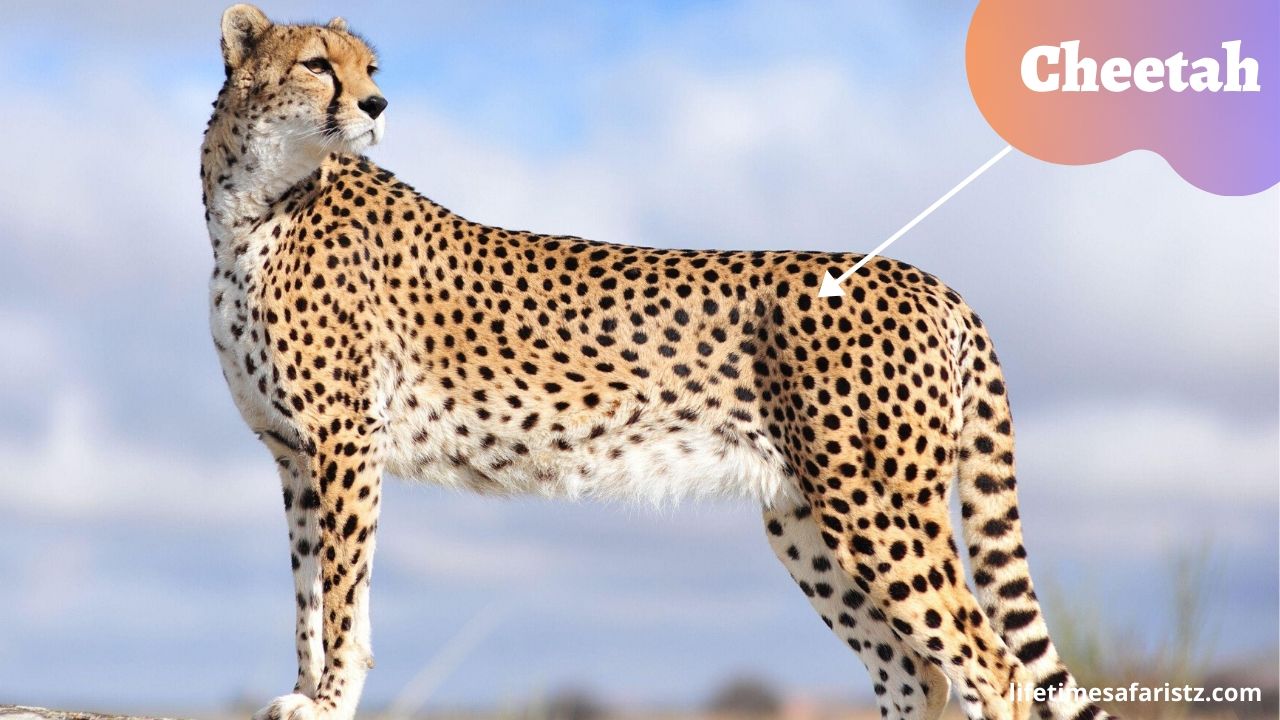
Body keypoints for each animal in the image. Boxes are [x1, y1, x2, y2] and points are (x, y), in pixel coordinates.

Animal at [201, 6, 1114, 720]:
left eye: (370, 69)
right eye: (318, 65)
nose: (378, 104)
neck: (252, 204)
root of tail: (929, 279)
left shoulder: (344, 441)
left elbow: (343, 595)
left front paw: (329, 700)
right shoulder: (294, 454)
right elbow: (308, 592)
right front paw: (303, 691)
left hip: (875, 504)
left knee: (991, 667)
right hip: (805, 519)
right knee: (916, 674)